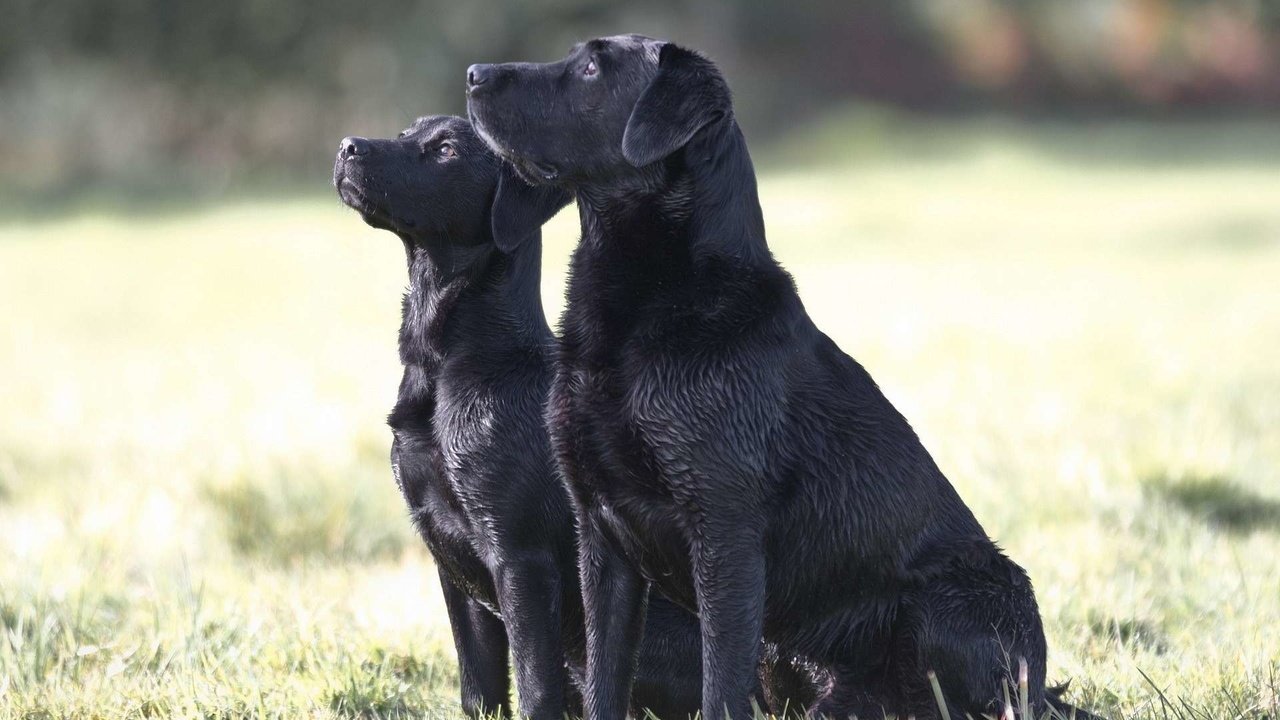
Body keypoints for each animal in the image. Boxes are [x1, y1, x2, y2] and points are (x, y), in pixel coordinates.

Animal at [332, 113, 701, 717]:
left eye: (447, 150)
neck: (448, 367)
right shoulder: (451, 563)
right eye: (408, 132)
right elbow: (479, 688)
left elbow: (532, 688)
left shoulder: (520, 559)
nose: (347, 147)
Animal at [465, 37, 1095, 717]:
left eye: (589, 68)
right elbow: (606, 678)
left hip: (954, 599)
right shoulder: (601, 536)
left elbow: (719, 685)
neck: (650, 310)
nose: (473, 74)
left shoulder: (724, 529)